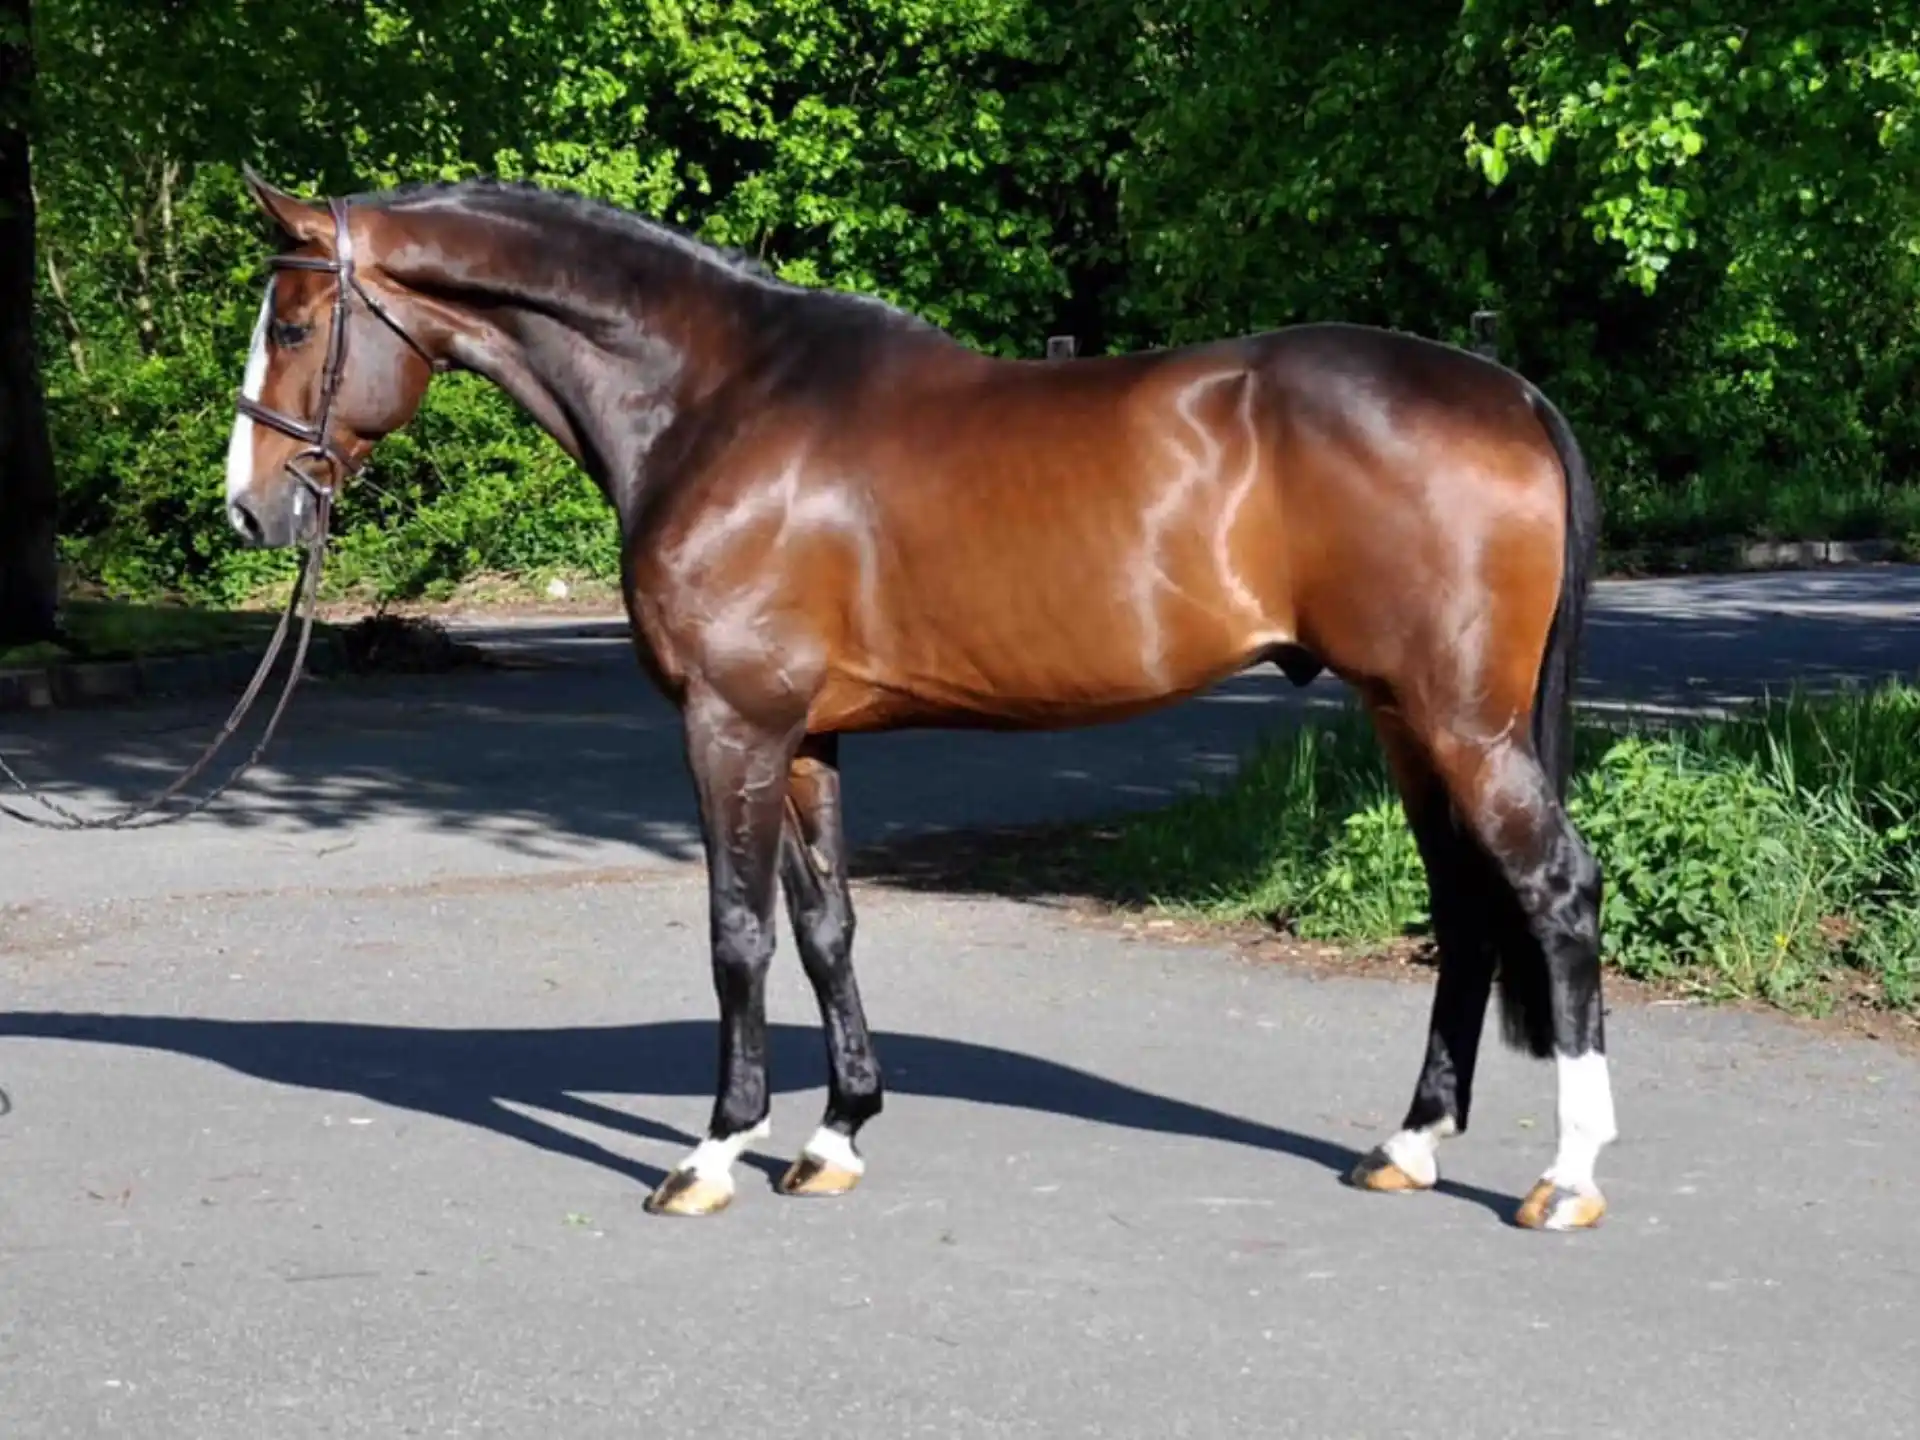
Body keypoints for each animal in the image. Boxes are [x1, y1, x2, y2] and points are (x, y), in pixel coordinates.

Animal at [222, 166, 1616, 1231]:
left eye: (292, 329)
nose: (250, 509)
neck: (714, 398)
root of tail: (1508, 392)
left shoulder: (728, 723)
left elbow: (738, 936)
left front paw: (713, 1152)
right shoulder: (805, 737)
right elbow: (826, 927)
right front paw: (834, 1136)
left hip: (1462, 722)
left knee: (1554, 893)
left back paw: (1565, 1177)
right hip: (1405, 718)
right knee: (1468, 909)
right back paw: (1411, 1145)